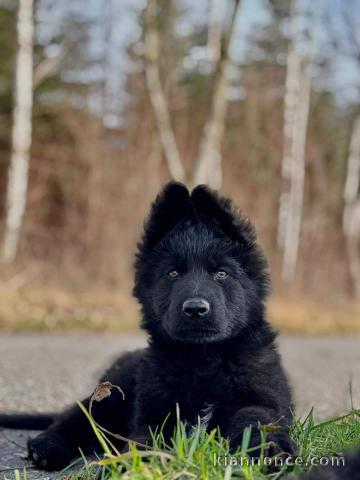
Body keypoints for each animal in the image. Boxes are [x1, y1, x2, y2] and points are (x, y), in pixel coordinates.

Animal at [0, 184, 296, 468]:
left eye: (221, 273)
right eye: (173, 273)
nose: (195, 309)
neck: (202, 360)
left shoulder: (263, 400)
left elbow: (256, 420)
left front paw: (269, 450)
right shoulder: (154, 414)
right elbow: (145, 439)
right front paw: (131, 465)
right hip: (110, 396)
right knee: (77, 416)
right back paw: (46, 445)